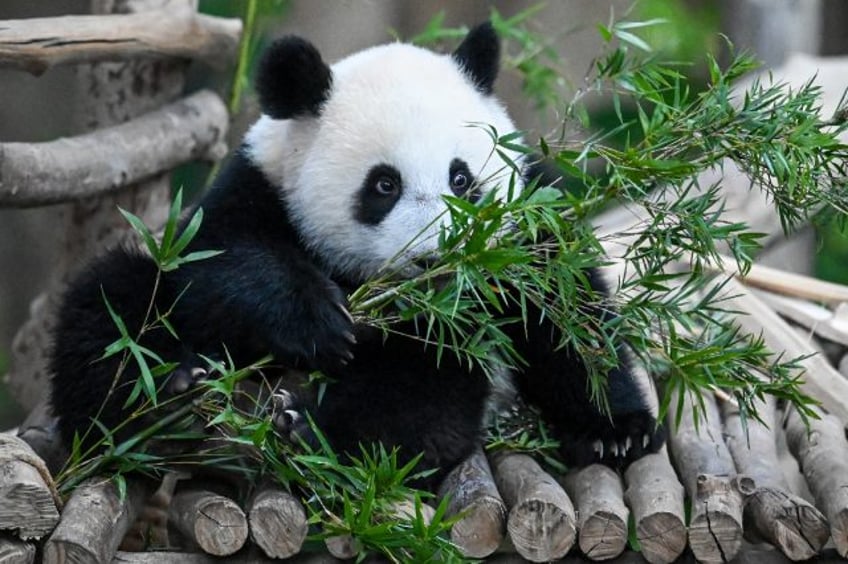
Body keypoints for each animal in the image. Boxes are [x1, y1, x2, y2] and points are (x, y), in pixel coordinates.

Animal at [49, 22, 664, 486]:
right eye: (384, 186)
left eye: (462, 179)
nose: (438, 260)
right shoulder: (257, 189)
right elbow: (217, 263)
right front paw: (317, 322)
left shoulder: (526, 224)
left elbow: (565, 315)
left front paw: (614, 431)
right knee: (111, 309)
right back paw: (166, 395)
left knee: (423, 394)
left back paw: (308, 429)